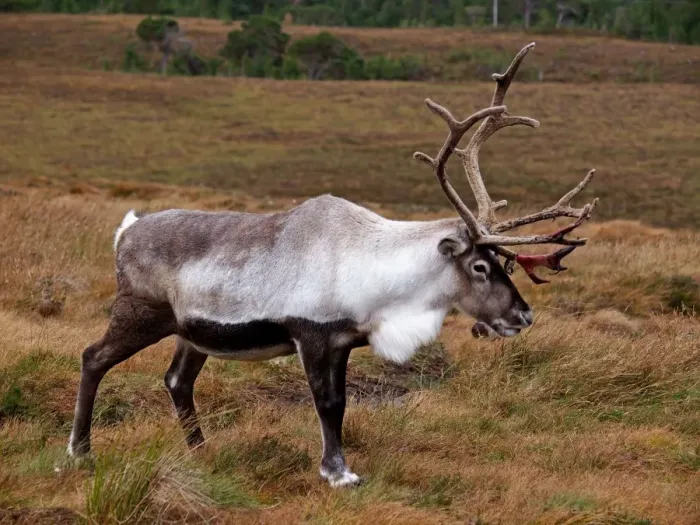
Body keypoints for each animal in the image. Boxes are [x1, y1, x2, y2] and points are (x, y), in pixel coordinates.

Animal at [67, 42, 598, 488]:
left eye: (504, 261)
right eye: (481, 268)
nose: (523, 315)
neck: (374, 270)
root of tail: (125, 231)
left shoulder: (342, 341)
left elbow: (340, 405)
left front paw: (336, 467)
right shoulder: (312, 335)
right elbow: (325, 404)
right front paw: (339, 473)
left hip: (191, 332)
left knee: (177, 380)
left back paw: (201, 452)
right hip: (139, 312)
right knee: (93, 357)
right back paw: (79, 451)